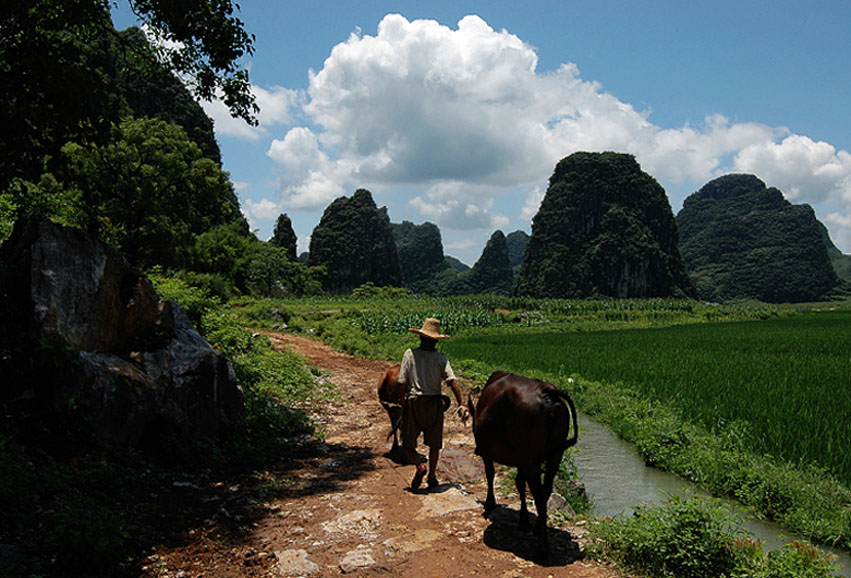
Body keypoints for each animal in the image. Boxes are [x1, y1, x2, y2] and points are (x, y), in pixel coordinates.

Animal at [466, 368, 580, 552]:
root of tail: (546, 390)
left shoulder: (487, 453)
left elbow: (490, 475)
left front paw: (490, 503)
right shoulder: (521, 460)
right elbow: (519, 484)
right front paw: (524, 520)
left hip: (532, 459)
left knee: (539, 495)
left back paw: (542, 546)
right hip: (555, 455)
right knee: (546, 490)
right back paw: (538, 526)